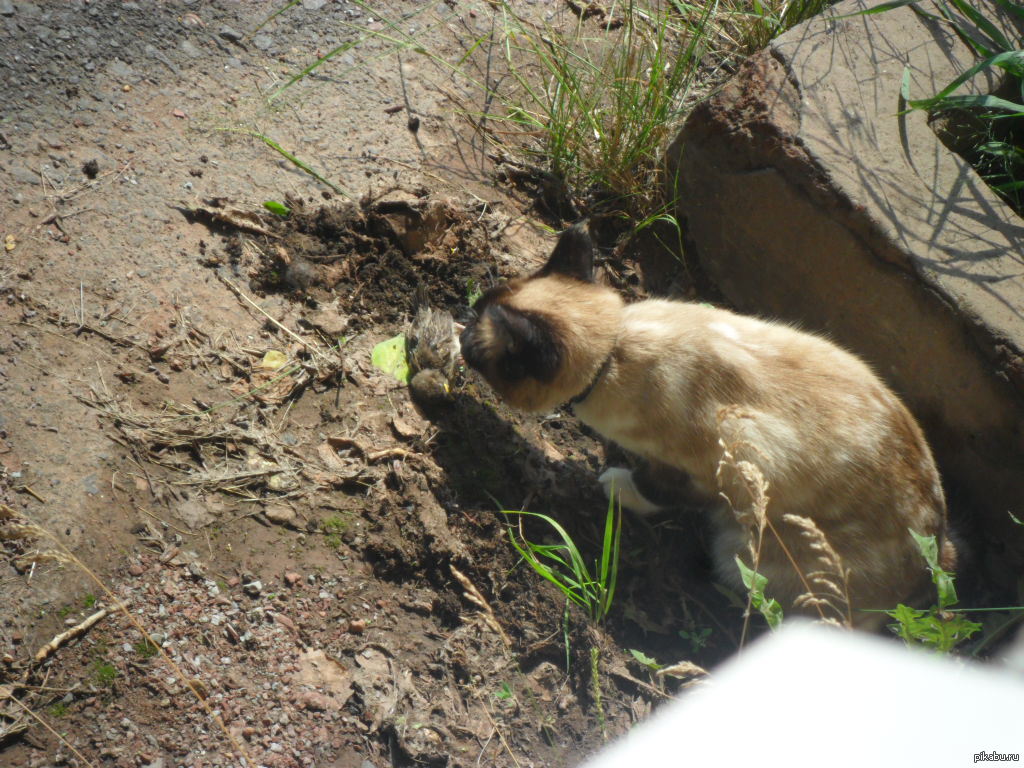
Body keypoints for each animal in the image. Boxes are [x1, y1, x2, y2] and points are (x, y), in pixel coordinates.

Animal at [460, 222, 954, 630]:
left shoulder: (725, 462)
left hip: (747, 545)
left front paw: (617, 483)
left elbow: (656, 488)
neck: (616, 350)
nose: (460, 330)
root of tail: (936, 559)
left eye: (476, 346)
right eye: (475, 310)